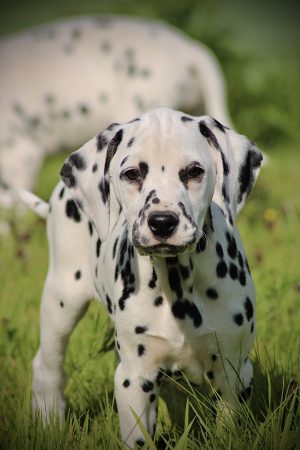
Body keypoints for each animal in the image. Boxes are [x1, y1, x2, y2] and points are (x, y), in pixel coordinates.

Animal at [22, 106, 262, 446]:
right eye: (132, 174)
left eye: (194, 171)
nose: (162, 222)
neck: (177, 283)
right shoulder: (135, 380)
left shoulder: (234, 373)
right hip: (62, 301)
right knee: (47, 365)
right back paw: (49, 423)